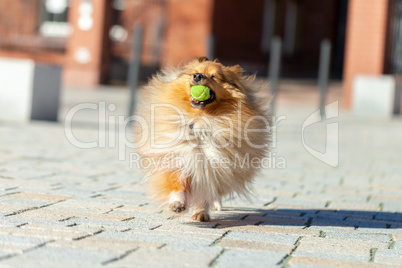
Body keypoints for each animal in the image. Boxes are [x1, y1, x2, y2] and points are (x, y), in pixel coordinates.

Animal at [135, 57, 270, 222]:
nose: (198, 76)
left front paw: (201, 213)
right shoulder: (176, 158)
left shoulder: (213, 167)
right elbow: (176, 182)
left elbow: (205, 192)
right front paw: (177, 204)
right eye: (195, 72)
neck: (200, 121)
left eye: (214, 76)